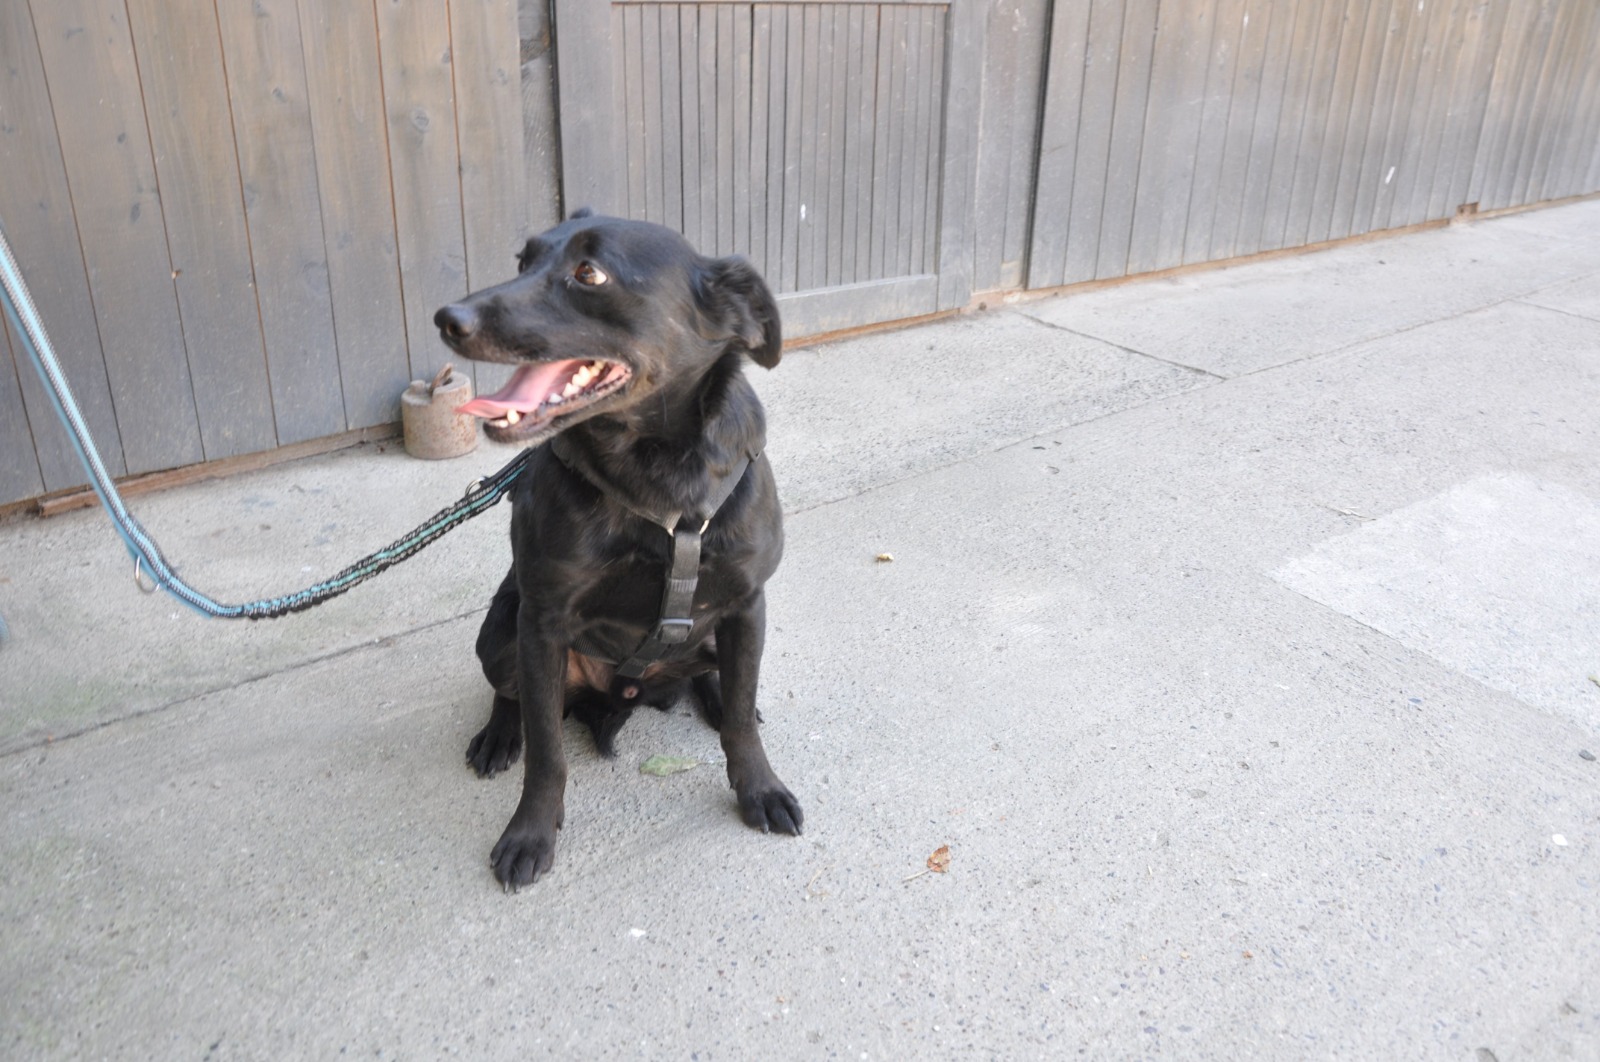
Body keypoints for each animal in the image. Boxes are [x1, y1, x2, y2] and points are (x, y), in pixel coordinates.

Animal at [434, 210, 802, 889]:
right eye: (522, 261)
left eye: (589, 272)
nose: (448, 318)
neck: (656, 475)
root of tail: (625, 692)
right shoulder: (542, 622)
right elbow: (547, 753)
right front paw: (529, 832)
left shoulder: (747, 604)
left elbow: (741, 719)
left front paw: (759, 787)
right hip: (501, 631)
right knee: (512, 694)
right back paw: (500, 734)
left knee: (719, 677)